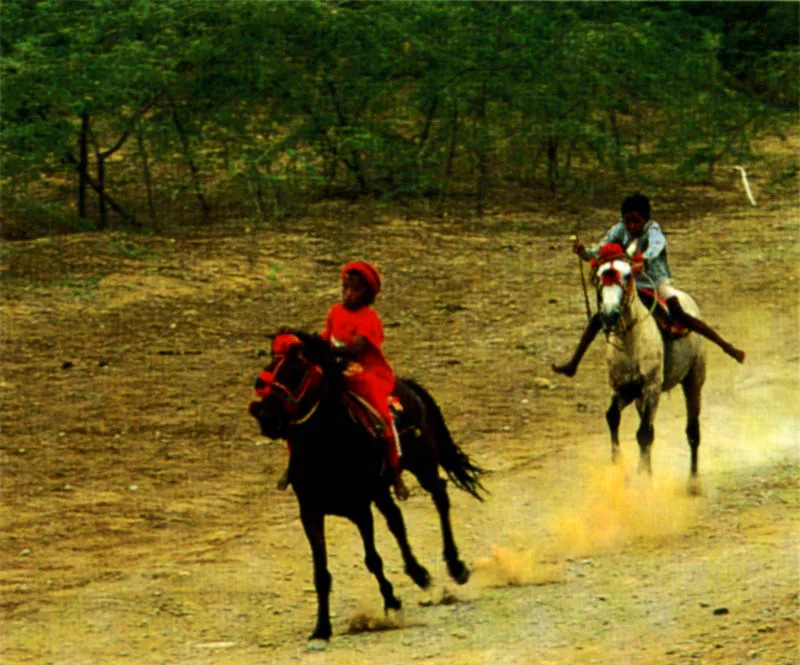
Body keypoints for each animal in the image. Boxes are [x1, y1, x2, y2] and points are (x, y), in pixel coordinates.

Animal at [247, 330, 484, 640]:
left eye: (297, 372)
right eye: (269, 366)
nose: (266, 417)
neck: (326, 447)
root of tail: (407, 385)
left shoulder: (361, 508)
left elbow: (373, 559)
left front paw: (392, 601)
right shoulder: (311, 513)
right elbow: (321, 572)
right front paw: (321, 627)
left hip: (421, 465)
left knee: (439, 497)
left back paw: (454, 566)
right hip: (383, 491)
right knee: (396, 520)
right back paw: (417, 572)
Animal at [592, 252, 708, 486]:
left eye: (627, 276)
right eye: (599, 276)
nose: (609, 314)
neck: (630, 342)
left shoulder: (651, 388)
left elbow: (644, 433)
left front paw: (643, 478)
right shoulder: (624, 388)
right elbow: (613, 417)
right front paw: (619, 465)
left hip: (694, 379)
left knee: (693, 430)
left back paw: (693, 482)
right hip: (639, 398)